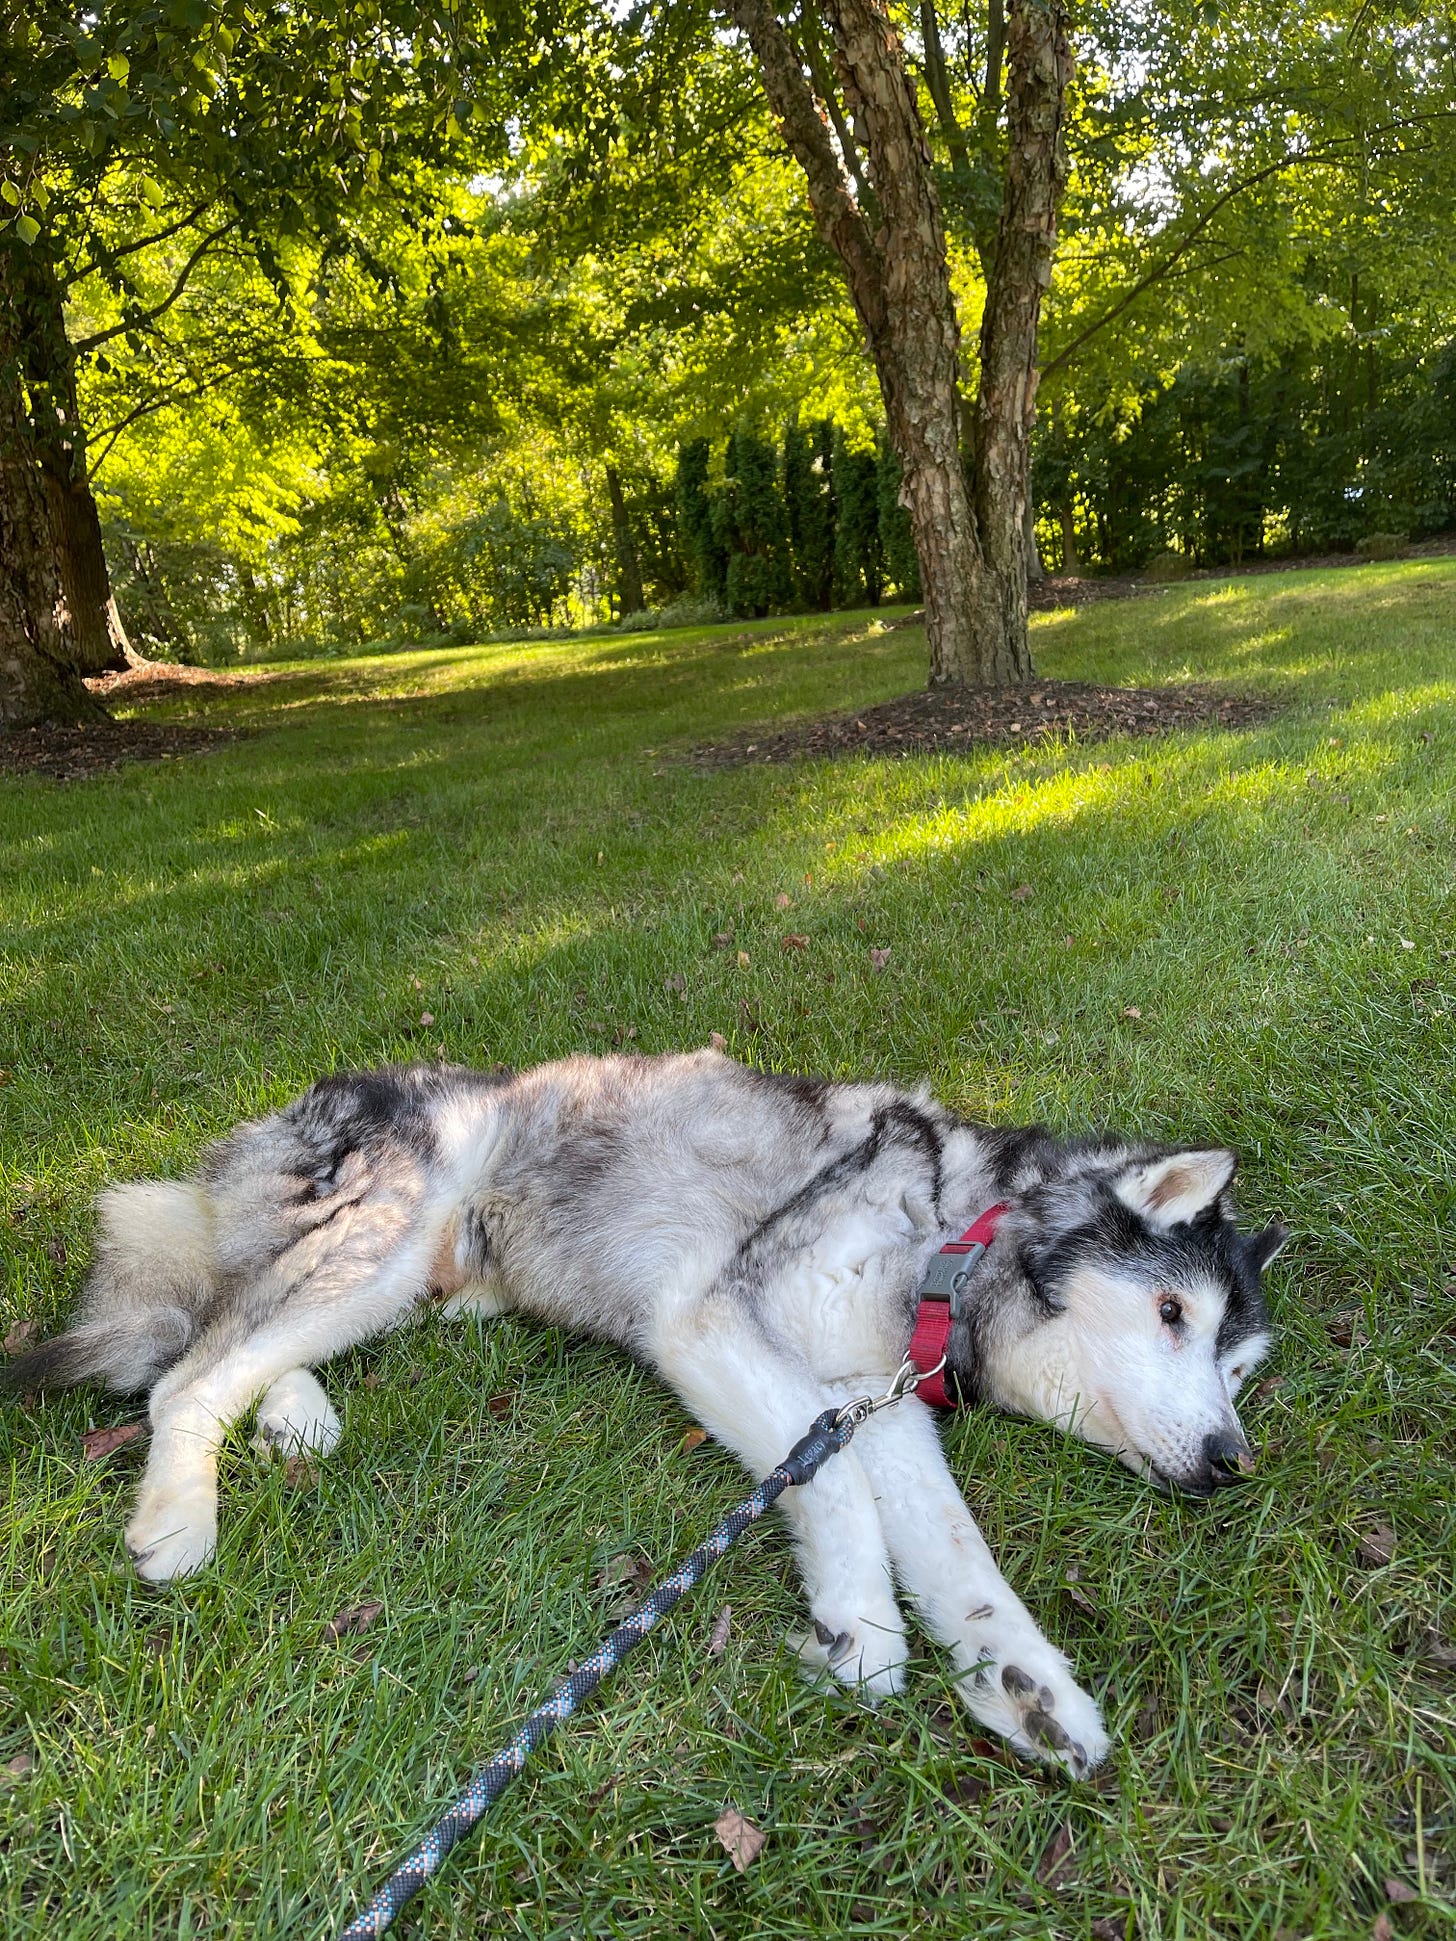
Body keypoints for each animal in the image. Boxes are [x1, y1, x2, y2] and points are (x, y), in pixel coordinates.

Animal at [8, 1055, 1289, 1777]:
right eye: (1171, 1313)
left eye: (1238, 1367)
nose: (1231, 1461)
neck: (948, 1234)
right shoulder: (711, 1324)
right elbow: (834, 1488)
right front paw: (862, 1632)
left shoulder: (870, 1399)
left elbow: (956, 1552)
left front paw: (1024, 1686)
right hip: (390, 1228)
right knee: (184, 1371)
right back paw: (180, 1516)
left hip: (423, 1279)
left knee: (230, 1331)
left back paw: (297, 1415)